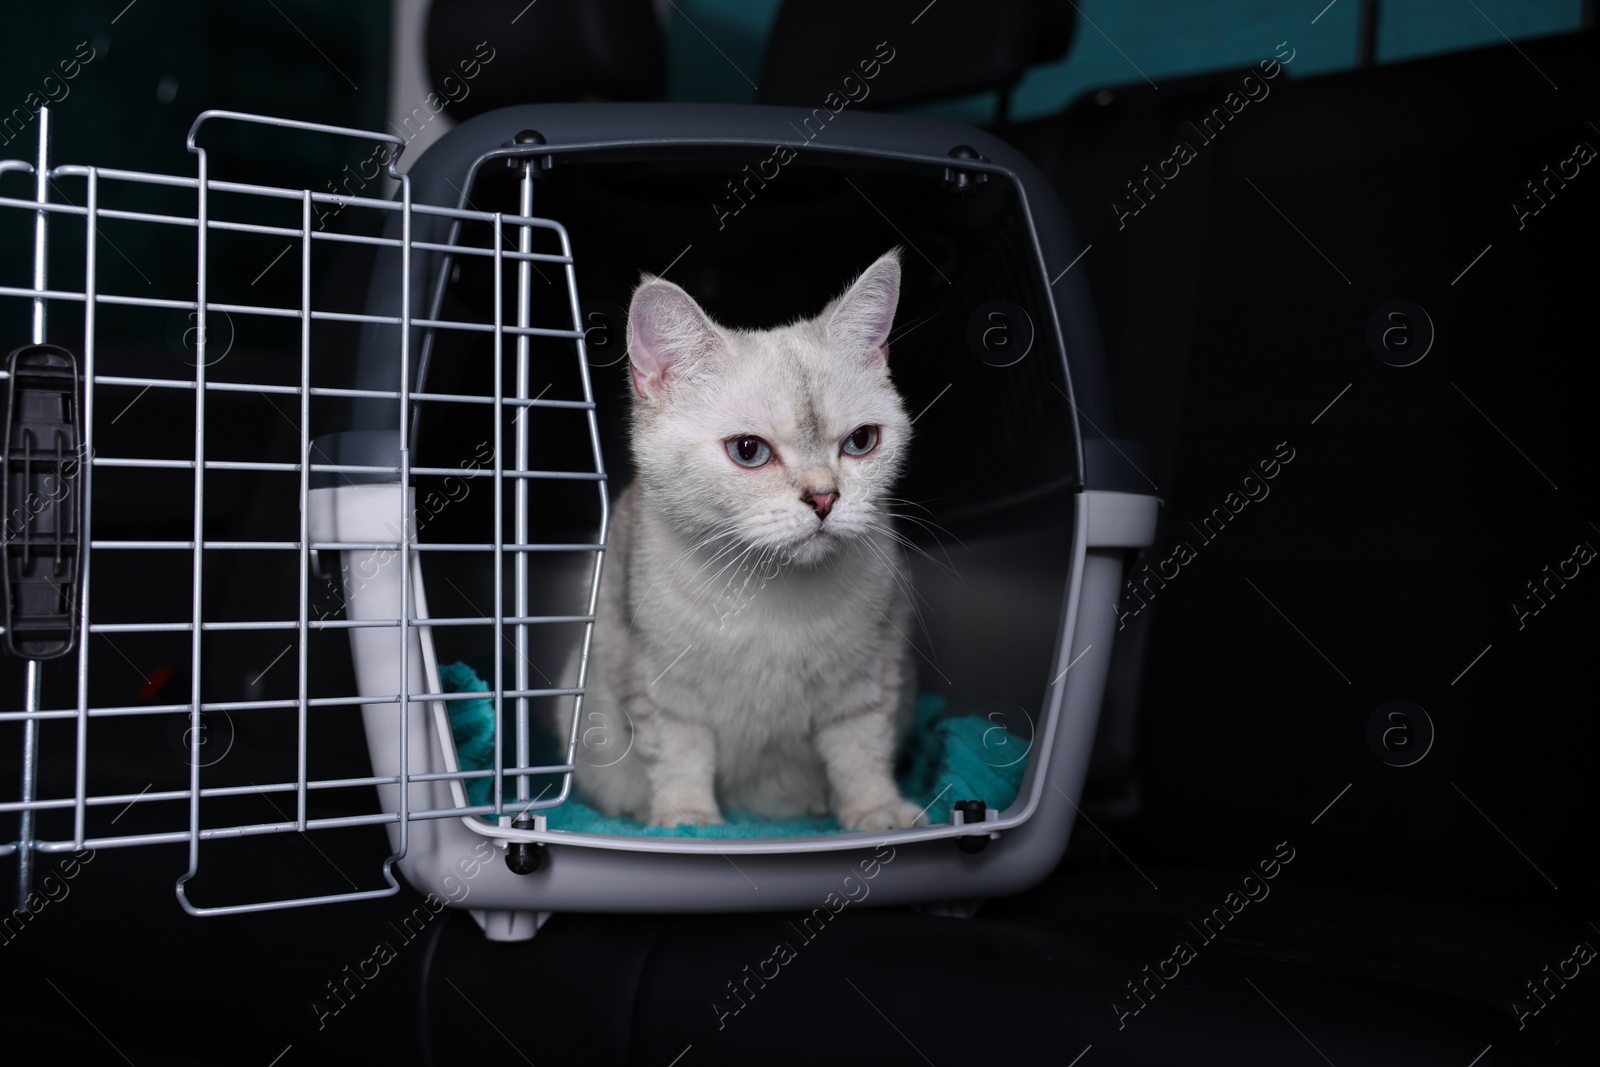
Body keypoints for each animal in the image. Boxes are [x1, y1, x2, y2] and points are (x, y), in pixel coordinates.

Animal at [572, 251, 928, 831]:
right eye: (748, 451)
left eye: (861, 442)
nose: (825, 498)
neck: (768, 595)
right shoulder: (654, 681)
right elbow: (678, 754)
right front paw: (688, 822)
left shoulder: (872, 672)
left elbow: (861, 750)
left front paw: (877, 812)